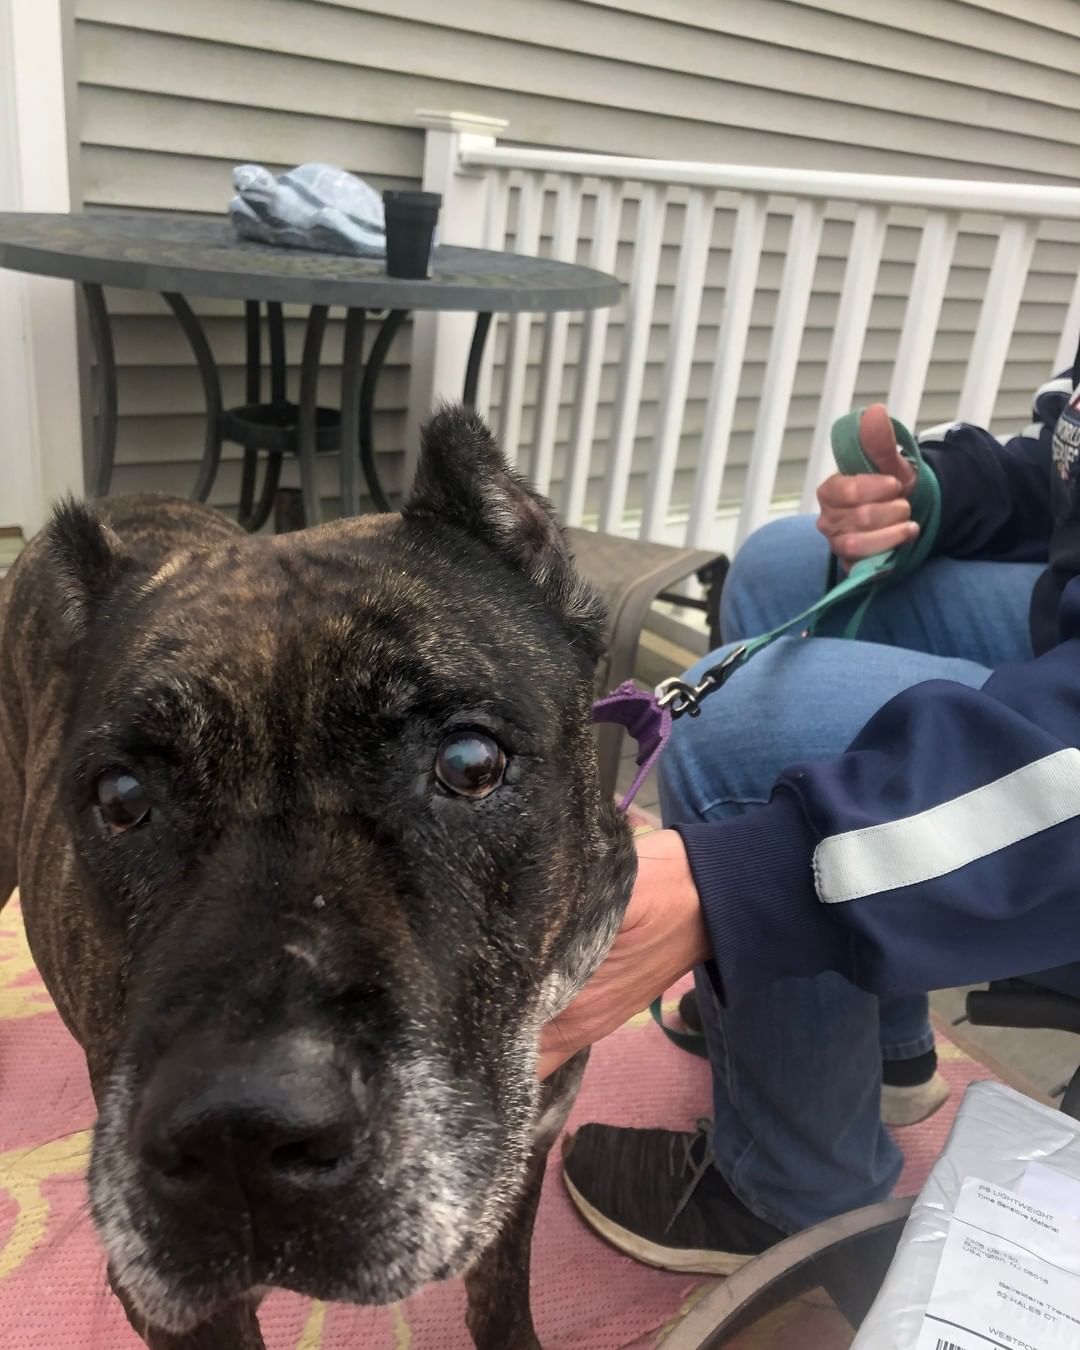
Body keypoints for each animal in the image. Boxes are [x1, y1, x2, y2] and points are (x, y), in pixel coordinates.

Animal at [0, 407, 636, 1350]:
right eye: (121, 797)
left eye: (471, 762)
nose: (238, 1133)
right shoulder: (191, 1314)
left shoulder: (522, 1170)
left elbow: (501, 1301)